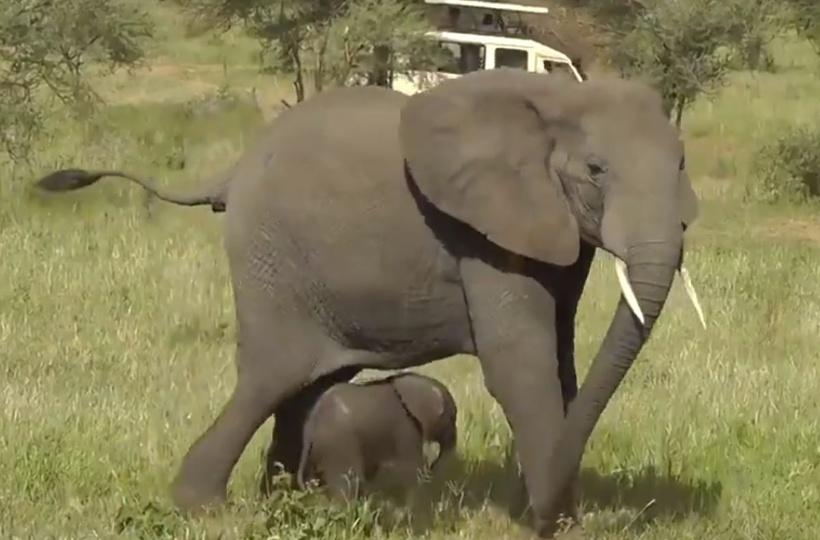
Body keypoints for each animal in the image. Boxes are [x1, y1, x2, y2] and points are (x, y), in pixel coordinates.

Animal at [298, 374, 458, 500]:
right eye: (452, 418)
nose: (431, 467)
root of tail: (310, 426)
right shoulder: (405, 427)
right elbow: (411, 468)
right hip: (337, 445)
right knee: (348, 484)